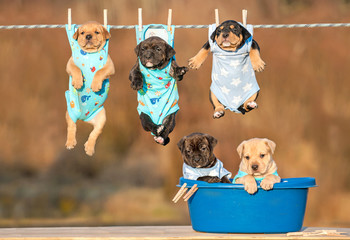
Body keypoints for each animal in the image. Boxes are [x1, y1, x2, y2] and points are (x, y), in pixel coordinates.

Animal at [64, 21, 115, 156]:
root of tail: (83, 119)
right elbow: (76, 69)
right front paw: (78, 82)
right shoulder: (70, 63)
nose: (88, 36)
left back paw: (90, 148)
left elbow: (99, 71)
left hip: (102, 117)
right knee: (71, 127)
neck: (90, 53)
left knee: (95, 133)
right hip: (70, 111)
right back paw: (70, 143)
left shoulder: (109, 66)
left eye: (97, 32)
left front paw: (96, 85)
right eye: (82, 32)